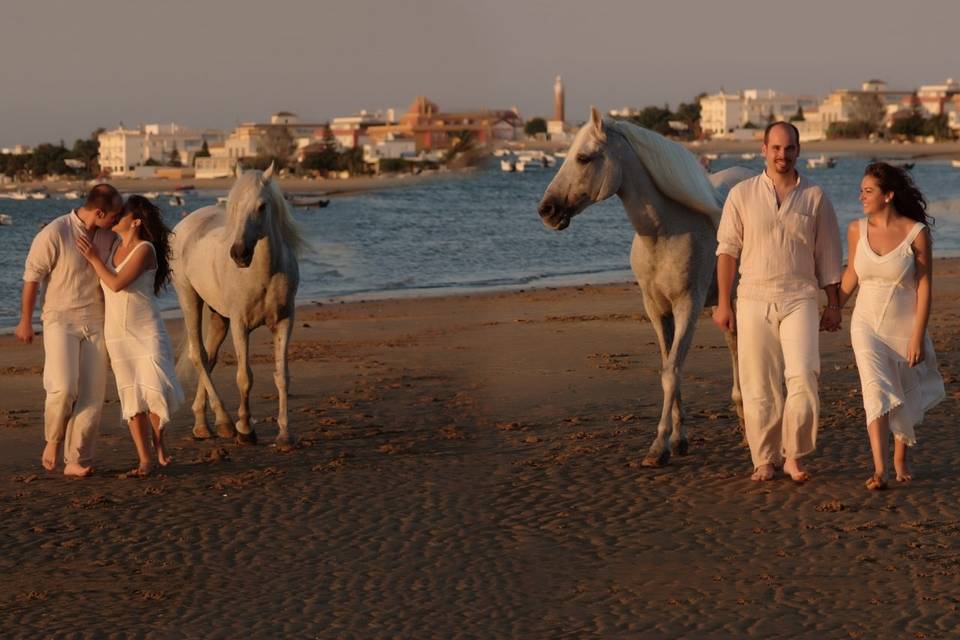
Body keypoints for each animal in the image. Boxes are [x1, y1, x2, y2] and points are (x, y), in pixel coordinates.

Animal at [172, 165, 304, 444]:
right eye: (234, 207)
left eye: (262, 206)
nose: (239, 254)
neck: (264, 274)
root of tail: (186, 222)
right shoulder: (240, 324)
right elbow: (244, 378)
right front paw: (245, 429)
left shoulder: (285, 322)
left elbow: (282, 377)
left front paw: (284, 434)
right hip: (189, 298)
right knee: (198, 355)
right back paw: (224, 422)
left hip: (218, 318)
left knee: (209, 358)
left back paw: (203, 425)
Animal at [536, 107, 748, 468]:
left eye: (584, 157)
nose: (546, 210)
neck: (666, 232)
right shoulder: (657, 309)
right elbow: (669, 368)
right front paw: (678, 440)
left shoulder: (688, 306)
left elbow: (672, 372)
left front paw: (658, 447)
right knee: (734, 343)